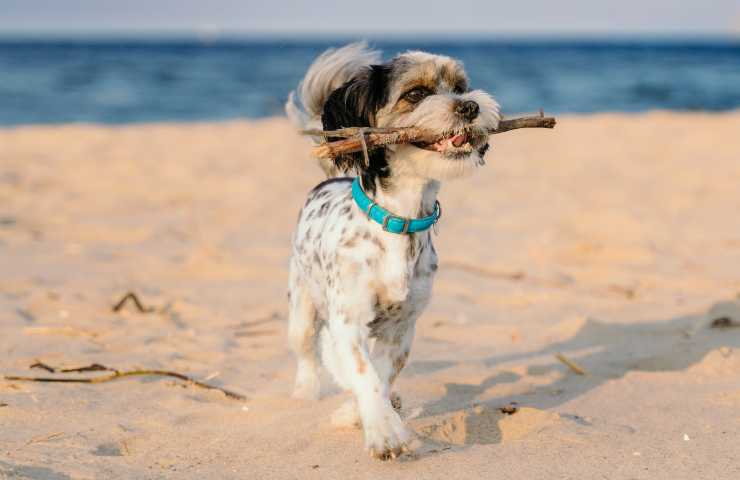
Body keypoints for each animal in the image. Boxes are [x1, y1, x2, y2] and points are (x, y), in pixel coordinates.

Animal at [286, 43, 500, 460]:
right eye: (416, 94)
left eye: (460, 87)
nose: (469, 105)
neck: (400, 222)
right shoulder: (347, 321)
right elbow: (362, 372)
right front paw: (384, 432)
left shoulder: (402, 327)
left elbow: (382, 374)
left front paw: (368, 413)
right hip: (301, 307)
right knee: (308, 353)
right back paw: (304, 392)